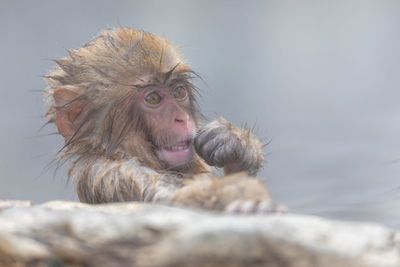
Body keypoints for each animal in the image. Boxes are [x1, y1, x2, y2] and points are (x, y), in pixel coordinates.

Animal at [43, 27, 282, 214]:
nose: (181, 118)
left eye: (178, 92)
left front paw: (235, 144)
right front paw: (242, 197)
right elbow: (171, 201)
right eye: (153, 98)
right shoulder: (113, 173)